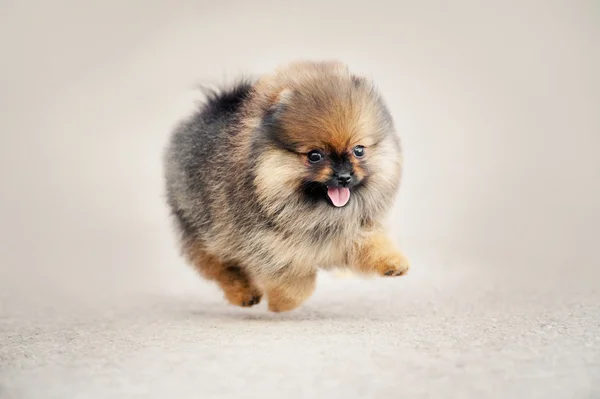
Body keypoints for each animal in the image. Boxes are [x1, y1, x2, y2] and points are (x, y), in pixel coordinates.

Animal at [163, 61, 408, 314]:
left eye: (359, 150)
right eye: (314, 156)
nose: (344, 176)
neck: (318, 215)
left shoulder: (352, 230)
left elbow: (371, 242)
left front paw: (392, 262)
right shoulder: (268, 249)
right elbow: (298, 283)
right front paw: (281, 304)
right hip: (203, 229)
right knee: (223, 268)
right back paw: (245, 294)